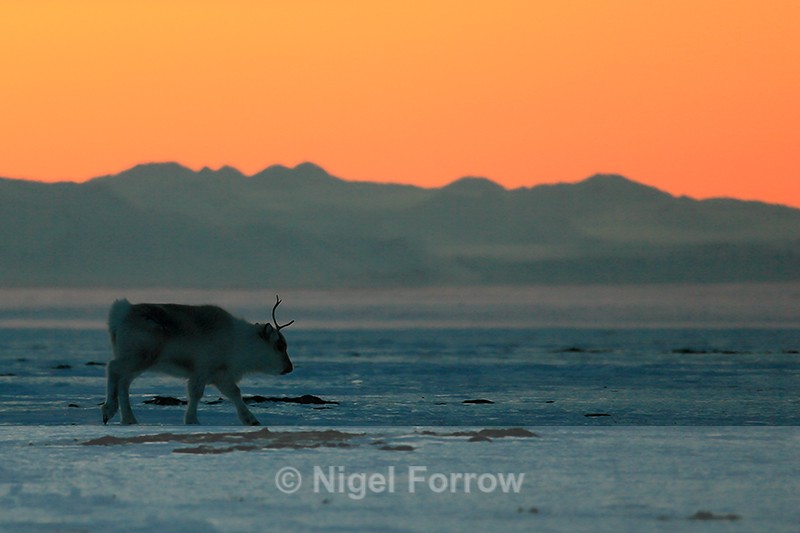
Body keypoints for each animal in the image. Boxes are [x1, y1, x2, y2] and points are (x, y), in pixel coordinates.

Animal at [101, 295, 294, 426]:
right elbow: (196, 393)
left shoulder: (220, 374)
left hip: (139, 362)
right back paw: (108, 410)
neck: (240, 343)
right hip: (140, 356)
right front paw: (192, 420)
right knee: (113, 368)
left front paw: (251, 420)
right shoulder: (203, 370)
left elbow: (234, 393)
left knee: (124, 381)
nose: (289, 368)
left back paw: (129, 419)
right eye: (279, 345)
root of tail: (121, 313)